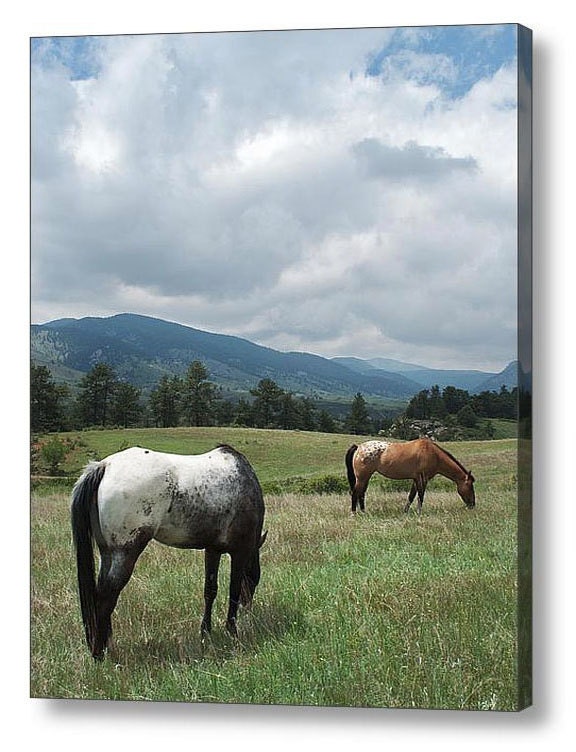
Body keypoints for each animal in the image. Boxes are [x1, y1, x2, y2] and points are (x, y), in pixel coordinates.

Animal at [71, 443, 267, 660]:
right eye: (254, 580)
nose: (248, 609)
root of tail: (105, 465)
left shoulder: (212, 549)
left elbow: (210, 590)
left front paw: (206, 633)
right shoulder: (240, 551)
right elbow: (233, 590)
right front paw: (232, 632)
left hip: (108, 553)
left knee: (99, 593)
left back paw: (106, 644)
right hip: (125, 553)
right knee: (107, 596)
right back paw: (99, 653)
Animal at [345, 437, 475, 514]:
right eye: (470, 486)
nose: (473, 505)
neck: (433, 454)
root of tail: (358, 447)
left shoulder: (415, 479)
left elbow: (411, 496)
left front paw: (405, 512)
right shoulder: (423, 478)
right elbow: (420, 496)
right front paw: (419, 512)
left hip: (365, 477)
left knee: (361, 494)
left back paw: (363, 512)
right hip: (362, 478)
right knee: (356, 493)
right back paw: (354, 513)